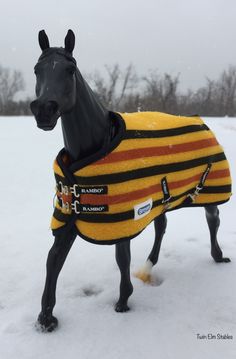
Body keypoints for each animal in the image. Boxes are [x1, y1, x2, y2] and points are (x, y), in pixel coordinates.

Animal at [30, 29, 230, 334]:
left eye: (70, 69)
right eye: (37, 69)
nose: (44, 109)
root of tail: (201, 121)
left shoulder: (123, 218)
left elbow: (121, 258)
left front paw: (123, 302)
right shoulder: (69, 219)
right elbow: (53, 261)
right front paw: (46, 318)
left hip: (208, 192)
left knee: (212, 220)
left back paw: (218, 256)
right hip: (162, 199)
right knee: (161, 226)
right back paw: (149, 265)